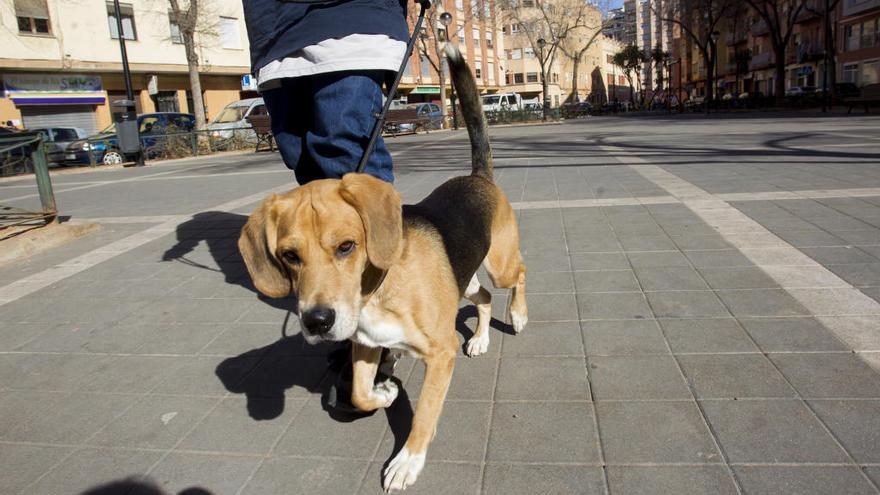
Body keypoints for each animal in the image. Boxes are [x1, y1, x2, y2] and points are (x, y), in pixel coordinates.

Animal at [241, 43, 524, 492]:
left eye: (346, 247)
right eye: (289, 256)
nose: (317, 322)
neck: (377, 291)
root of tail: (478, 177)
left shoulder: (440, 355)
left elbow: (424, 413)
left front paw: (408, 460)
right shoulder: (366, 344)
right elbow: (359, 392)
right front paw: (385, 393)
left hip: (501, 264)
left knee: (519, 277)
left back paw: (518, 315)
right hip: (463, 280)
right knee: (480, 297)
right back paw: (480, 339)